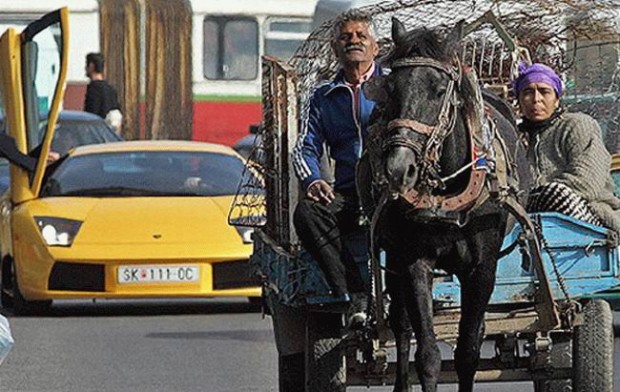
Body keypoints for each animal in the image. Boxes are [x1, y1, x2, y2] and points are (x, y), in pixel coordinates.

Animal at [356, 18, 532, 392]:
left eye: (439, 90)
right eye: (391, 88)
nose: (398, 169)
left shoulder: (482, 267)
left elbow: (468, 351)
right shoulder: (412, 261)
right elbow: (427, 354)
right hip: (392, 254)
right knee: (401, 325)